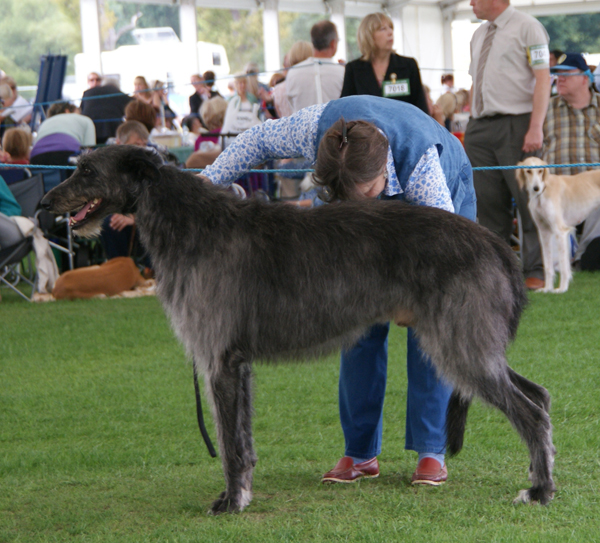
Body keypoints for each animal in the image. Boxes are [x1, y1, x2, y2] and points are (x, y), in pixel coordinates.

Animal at [41, 144, 556, 516]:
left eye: (87, 171)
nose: (46, 203)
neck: (187, 223)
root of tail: (494, 243)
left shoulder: (218, 359)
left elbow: (227, 444)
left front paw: (230, 503)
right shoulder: (238, 363)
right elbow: (242, 441)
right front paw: (244, 495)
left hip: (460, 341)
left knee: (530, 412)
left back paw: (540, 491)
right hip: (475, 340)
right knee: (540, 395)